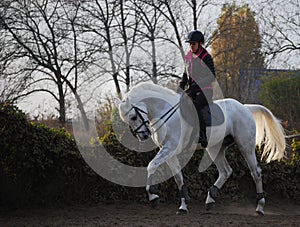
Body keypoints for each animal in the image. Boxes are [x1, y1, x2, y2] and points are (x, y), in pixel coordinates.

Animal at [115, 81, 286, 215]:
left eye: (133, 117)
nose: (143, 136)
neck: (165, 112)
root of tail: (244, 107)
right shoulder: (168, 151)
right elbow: (178, 178)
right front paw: (183, 206)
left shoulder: (169, 148)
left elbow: (151, 166)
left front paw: (153, 196)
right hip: (215, 148)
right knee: (225, 171)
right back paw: (210, 199)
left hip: (245, 146)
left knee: (255, 172)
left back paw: (260, 207)